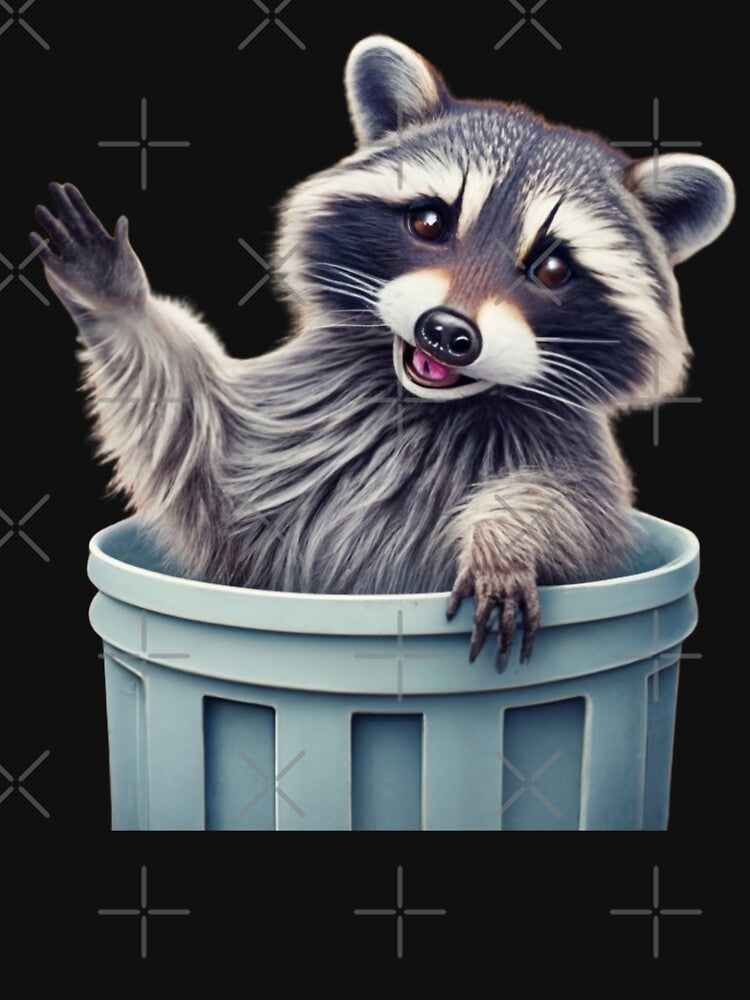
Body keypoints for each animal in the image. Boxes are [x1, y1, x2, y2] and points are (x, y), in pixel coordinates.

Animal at [31, 36, 734, 669]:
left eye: (553, 269)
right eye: (429, 221)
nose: (446, 333)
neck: (426, 407)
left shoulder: (576, 457)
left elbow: (571, 508)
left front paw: (507, 533)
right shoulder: (291, 420)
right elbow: (194, 439)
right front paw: (118, 300)